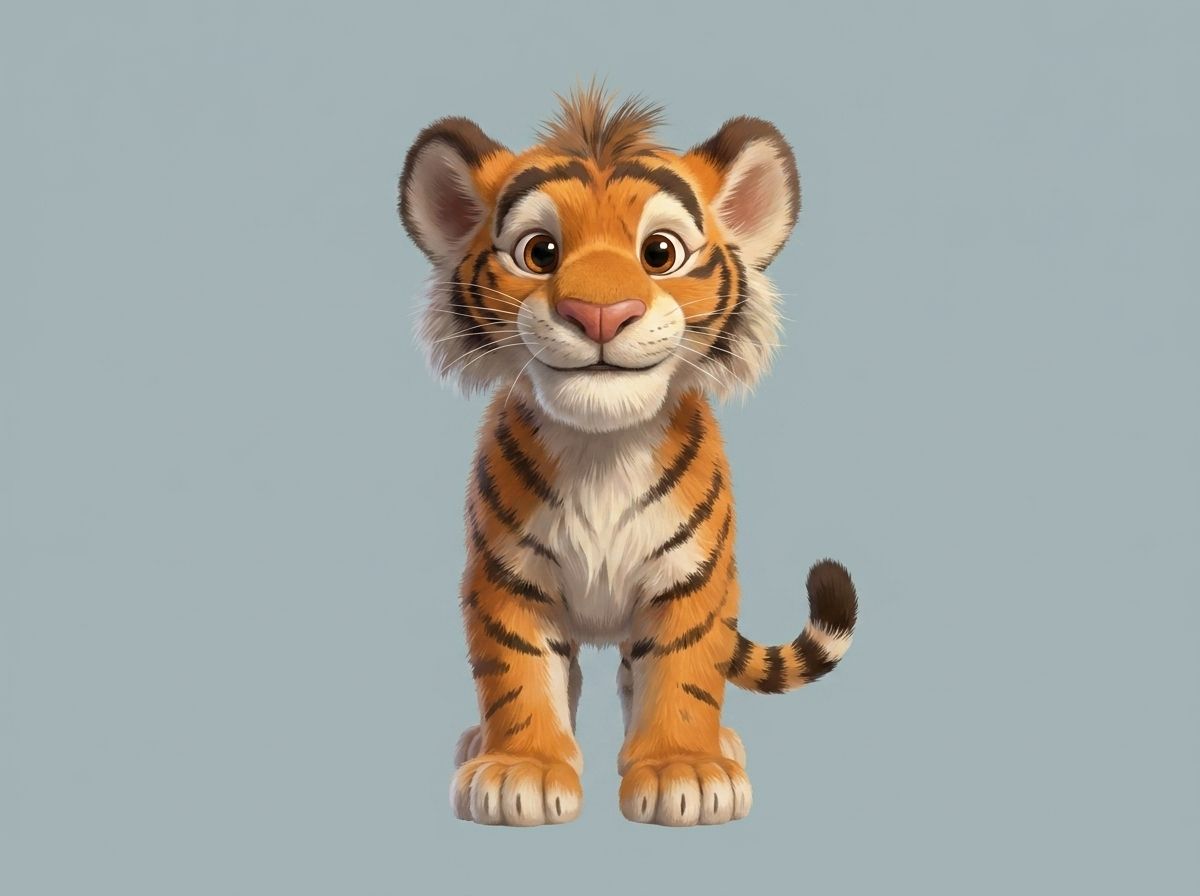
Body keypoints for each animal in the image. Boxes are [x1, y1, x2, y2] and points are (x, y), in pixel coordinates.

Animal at [397, 85, 858, 827]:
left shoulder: (692, 580)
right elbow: (519, 679)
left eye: (659, 252)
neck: (601, 446)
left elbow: (682, 676)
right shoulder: (506, 580)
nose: (601, 315)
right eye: (539, 251)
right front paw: (521, 771)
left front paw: (685, 772)